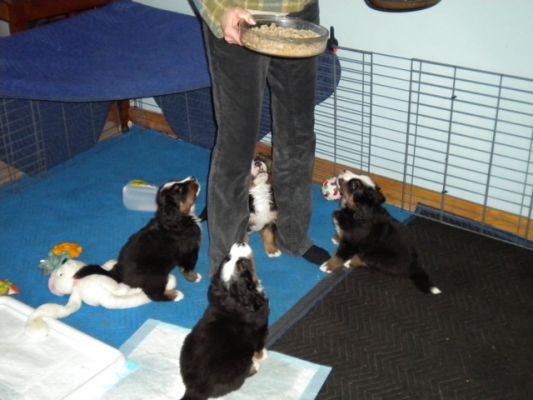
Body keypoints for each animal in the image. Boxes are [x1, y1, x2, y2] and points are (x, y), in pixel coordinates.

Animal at [72, 177, 202, 302]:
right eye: (179, 189)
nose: (193, 178)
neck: (181, 217)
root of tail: (118, 274)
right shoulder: (190, 249)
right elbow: (189, 266)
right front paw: (194, 277)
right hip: (155, 276)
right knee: (154, 294)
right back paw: (175, 295)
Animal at [180, 241, 270, 400]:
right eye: (242, 265)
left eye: (227, 258)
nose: (241, 242)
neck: (231, 299)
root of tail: (194, 389)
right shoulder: (261, 329)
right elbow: (260, 346)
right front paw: (262, 356)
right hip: (240, 365)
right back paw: (254, 367)